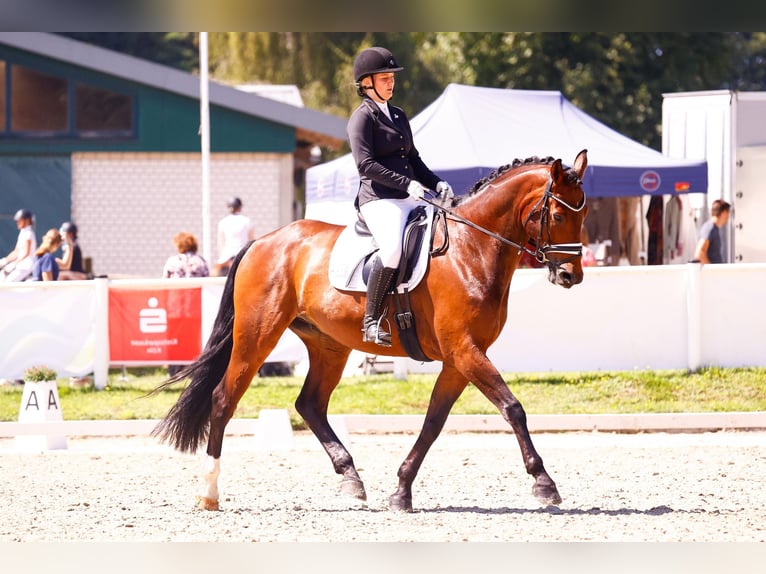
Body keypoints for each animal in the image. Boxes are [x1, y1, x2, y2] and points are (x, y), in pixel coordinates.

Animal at [152, 150, 589, 512]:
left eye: (582, 216)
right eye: (557, 216)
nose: (571, 276)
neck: (471, 249)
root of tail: (263, 241)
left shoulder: (458, 359)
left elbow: (433, 422)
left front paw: (401, 491)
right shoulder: (465, 351)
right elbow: (512, 408)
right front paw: (545, 484)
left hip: (328, 345)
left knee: (310, 404)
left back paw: (351, 478)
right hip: (256, 336)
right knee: (224, 399)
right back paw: (209, 492)